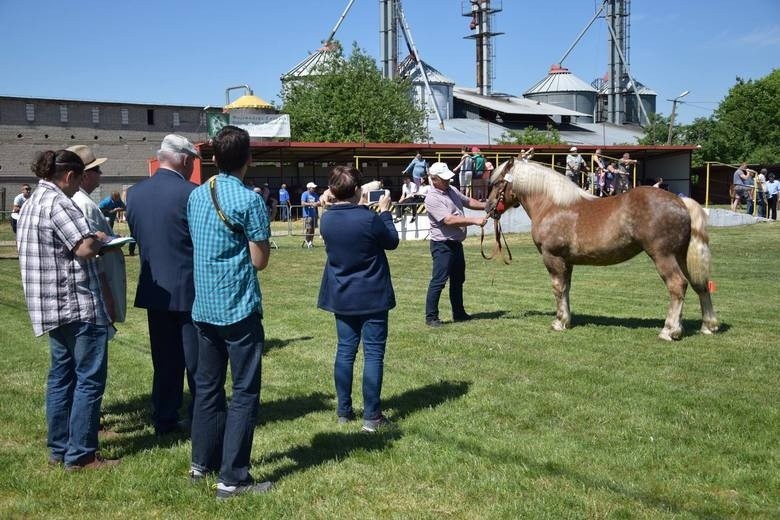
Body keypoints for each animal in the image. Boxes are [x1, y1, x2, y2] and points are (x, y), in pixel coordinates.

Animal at [488, 156, 720, 340]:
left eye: (497, 183)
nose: (488, 208)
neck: (552, 205)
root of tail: (681, 202)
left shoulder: (552, 257)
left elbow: (557, 288)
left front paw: (559, 322)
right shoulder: (567, 261)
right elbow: (566, 289)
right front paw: (567, 320)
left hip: (664, 256)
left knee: (677, 285)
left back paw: (669, 331)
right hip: (682, 256)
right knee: (700, 285)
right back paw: (707, 326)